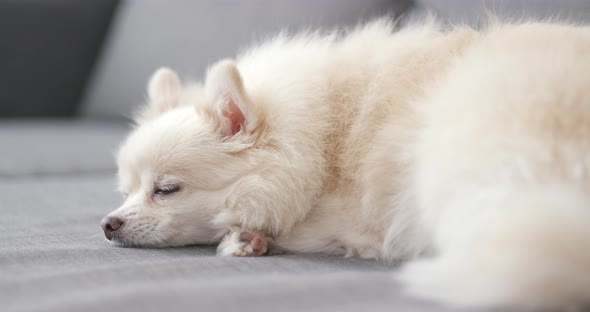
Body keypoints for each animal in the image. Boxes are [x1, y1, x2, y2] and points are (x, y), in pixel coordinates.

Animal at [102, 18, 590, 310]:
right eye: (125, 191)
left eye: (166, 189)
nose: (109, 223)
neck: (324, 138)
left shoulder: (353, 212)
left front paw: (247, 235)